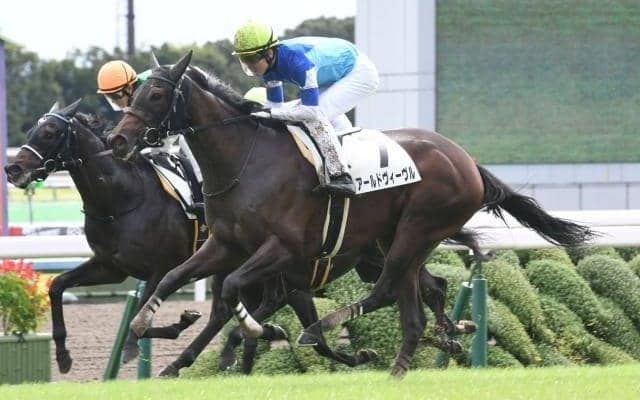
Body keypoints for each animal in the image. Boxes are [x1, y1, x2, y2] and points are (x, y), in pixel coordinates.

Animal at [107, 51, 594, 377]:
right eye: (133, 93)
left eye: (156, 93)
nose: (117, 139)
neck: (247, 159)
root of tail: (468, 161)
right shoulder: (226, 243)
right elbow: (174, 278)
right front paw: (146, 326)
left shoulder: (283, 249)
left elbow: (230, 292)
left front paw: (257, 331)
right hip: (396, 239)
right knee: (420, 294)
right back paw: (432, 343)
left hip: (417, 230)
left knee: (387, 290)